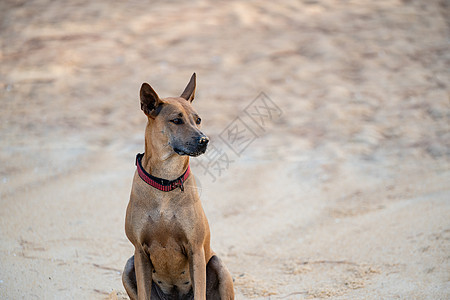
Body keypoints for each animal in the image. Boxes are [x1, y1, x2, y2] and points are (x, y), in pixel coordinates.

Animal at [123, 73, 236, 300]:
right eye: (176, 120)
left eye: (198, 119)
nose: (204, 140)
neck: (165, 182)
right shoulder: (139, 252)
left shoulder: (195, 249)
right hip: (128, 267)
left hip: (217, 264)